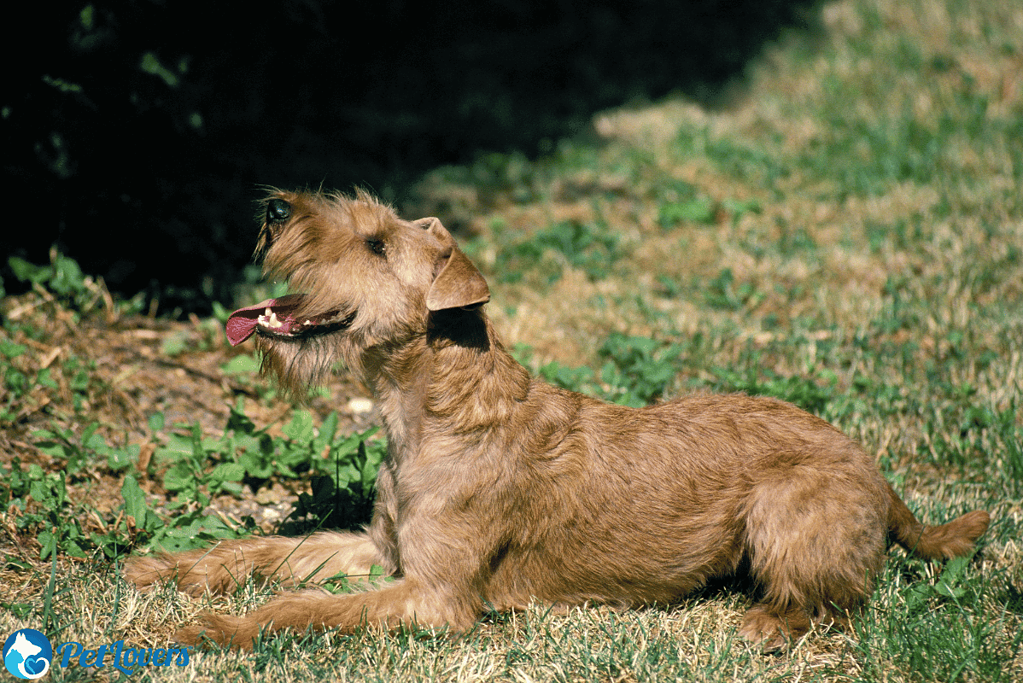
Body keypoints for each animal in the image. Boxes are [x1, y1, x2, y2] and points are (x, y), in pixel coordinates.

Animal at [121, 189, 990, 650]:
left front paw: (216, 628)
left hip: (781, 511)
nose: (271, 205)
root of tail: (881, 479)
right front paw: (162, 569)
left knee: (831, 603)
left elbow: (304, 606)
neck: (436, 410)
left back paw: (758, 625)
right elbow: (266, 551)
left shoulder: (434, 596)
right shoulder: (381, 549)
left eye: (372, 242)